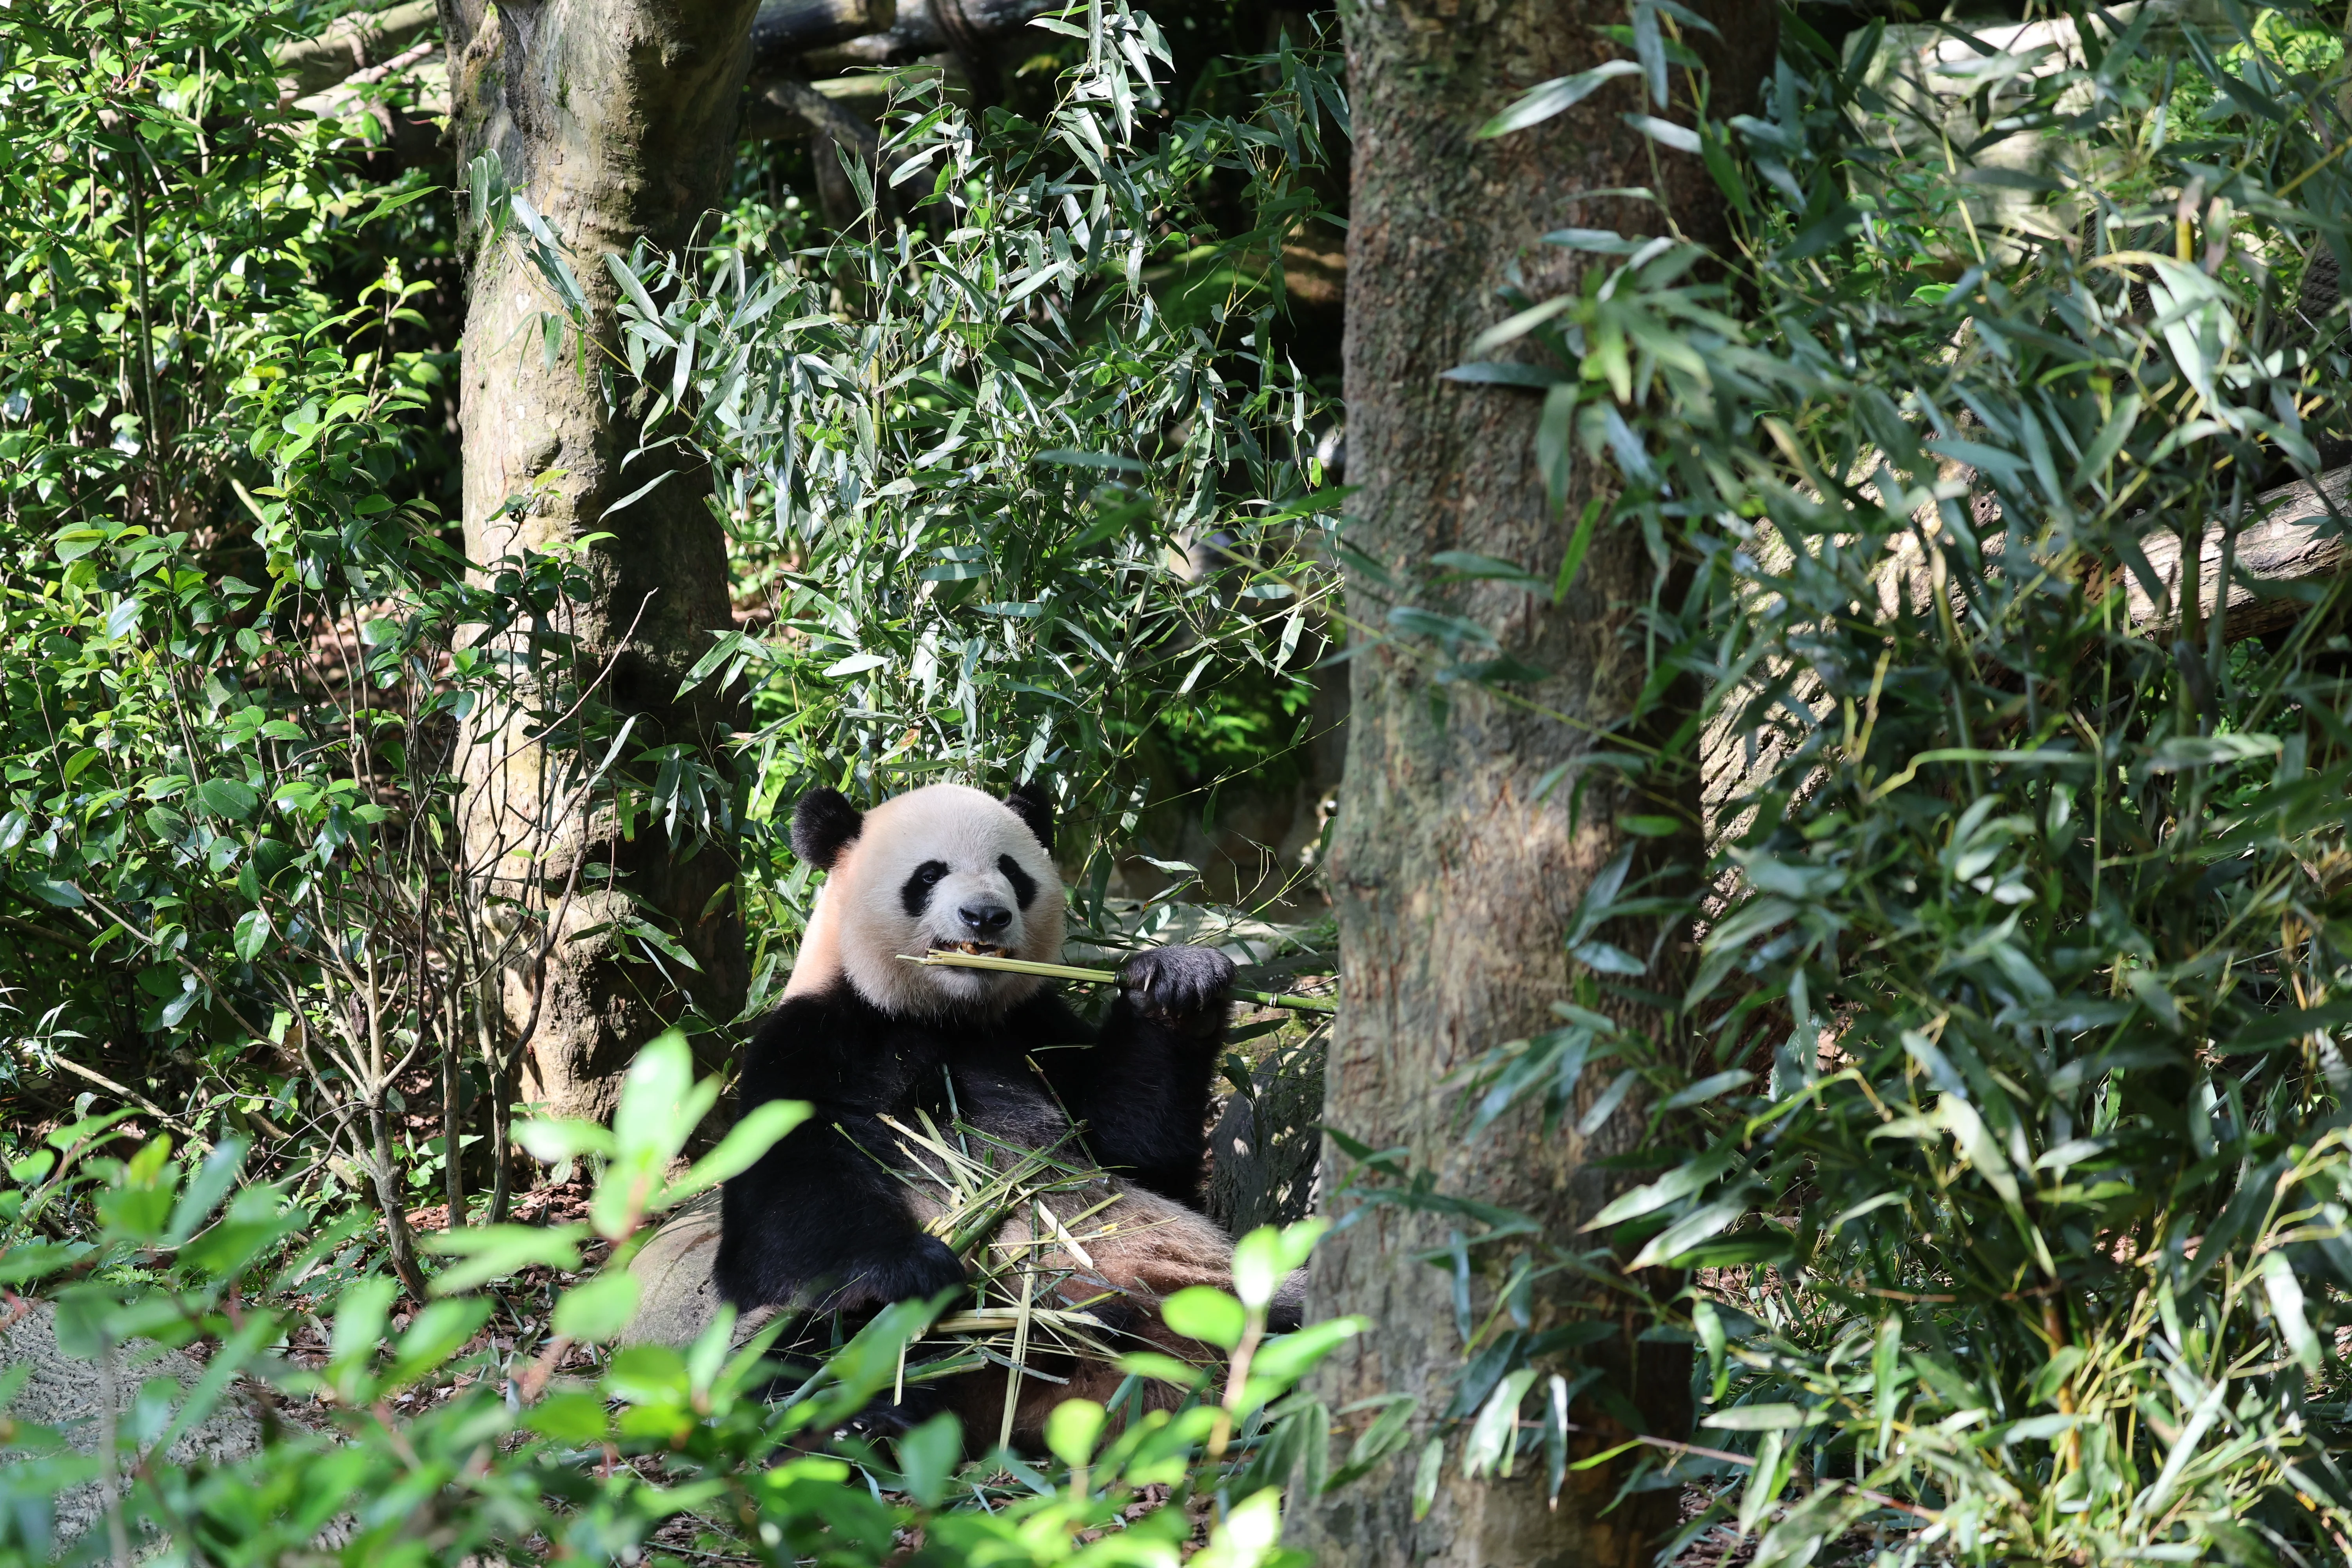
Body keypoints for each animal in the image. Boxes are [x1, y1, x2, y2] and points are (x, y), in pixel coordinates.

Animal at [716, 780, 1267, 1443]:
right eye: (929, 875)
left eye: (1012, 873)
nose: (985, 916)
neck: (944, 1013)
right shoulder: (811, 1040)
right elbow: (779, 1214)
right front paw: (912, 1269)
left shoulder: (1034, 1030)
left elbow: (1135, 1155)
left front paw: (1180, 985)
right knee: (797, 1350)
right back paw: (865, 1421)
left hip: (1201, 1284)